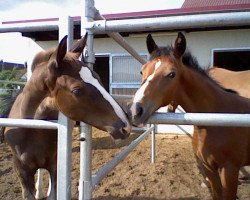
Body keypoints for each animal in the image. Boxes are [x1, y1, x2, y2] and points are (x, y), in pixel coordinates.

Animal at [2, 33, 132, 199]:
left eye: (97, 77)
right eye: (77, 90)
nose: (125, 126)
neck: (30, 129)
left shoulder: (55, 165)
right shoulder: (21, 171)